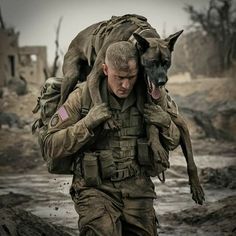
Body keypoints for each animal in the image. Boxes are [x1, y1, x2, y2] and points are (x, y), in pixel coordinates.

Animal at [60, 13, 204, 204]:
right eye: (152, 62)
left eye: (166, 62)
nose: (162, 82)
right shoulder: (95, 76)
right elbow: (97, 97)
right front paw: (107, 119)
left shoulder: (165, 110)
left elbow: (188, 157)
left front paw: (196, 186)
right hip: (72, 74)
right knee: (65, 94)